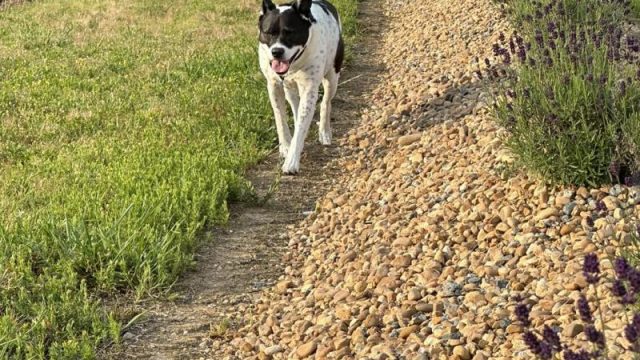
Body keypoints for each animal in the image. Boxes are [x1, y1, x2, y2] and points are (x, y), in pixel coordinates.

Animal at [258, 0, 342, 173]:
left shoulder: (310, 89)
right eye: (268, 32)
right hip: (290, 87)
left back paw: (324, 131)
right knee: (295, 104)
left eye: (290, 33)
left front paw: (291, 161)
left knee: (326, 102)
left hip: (332, 76)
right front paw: (285, 147)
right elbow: (280, 118)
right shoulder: (274, 86)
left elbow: (302, 124)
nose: (276, 51)